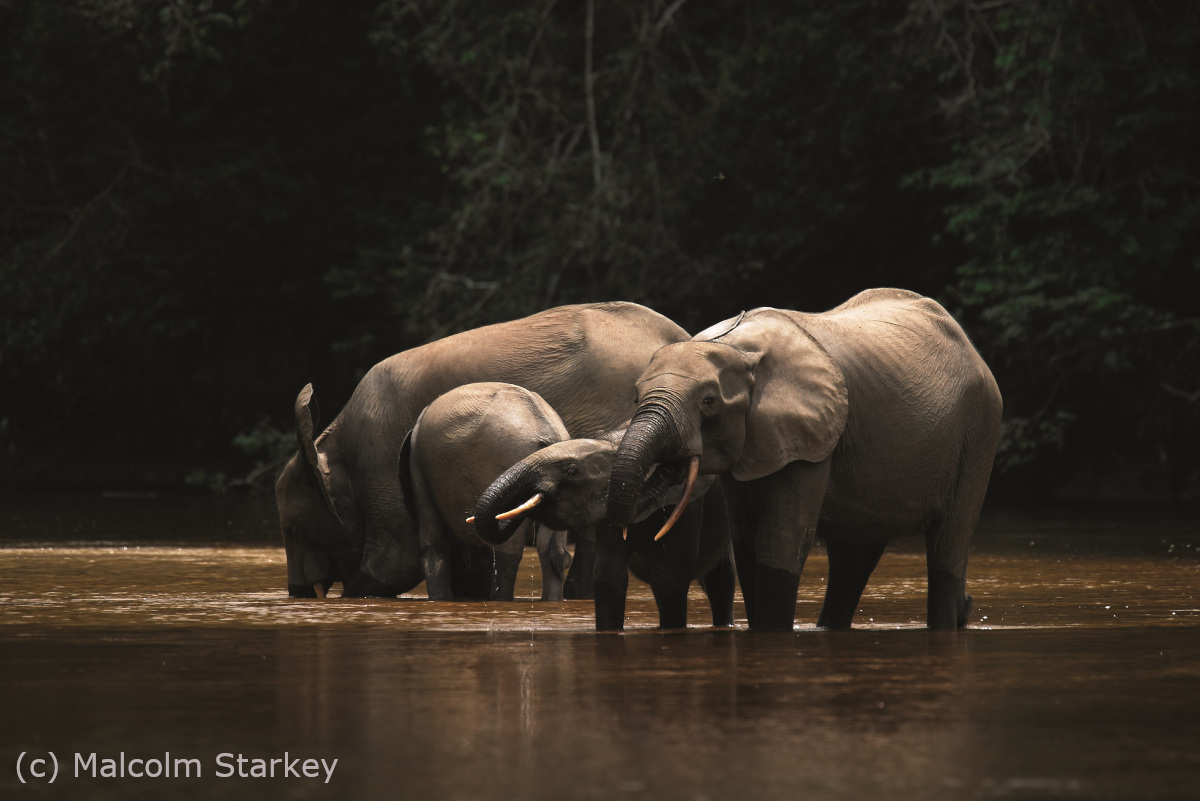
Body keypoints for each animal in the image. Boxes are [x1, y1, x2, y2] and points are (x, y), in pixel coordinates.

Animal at [396, 381, 573, 599]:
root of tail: (548, 428)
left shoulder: (419, 470)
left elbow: (433, 543)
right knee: (552, 550)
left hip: (504, 457)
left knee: (509, 550)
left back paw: (502, 600)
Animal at [468, 431, 729, 633]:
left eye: (572, 471)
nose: (669, 470)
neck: (619, 442)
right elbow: (609, 575)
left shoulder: (685, 508)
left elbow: (669, 576)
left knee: (719, 580)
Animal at [604, 287, 998, 633]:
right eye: (636, 396)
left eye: (709, 401)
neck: (735, 346)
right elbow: (747, 542)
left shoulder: (814, 437)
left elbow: (781, 539)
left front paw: (772, 632)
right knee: (852, 559)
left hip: (978, 433)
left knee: (947, 547)